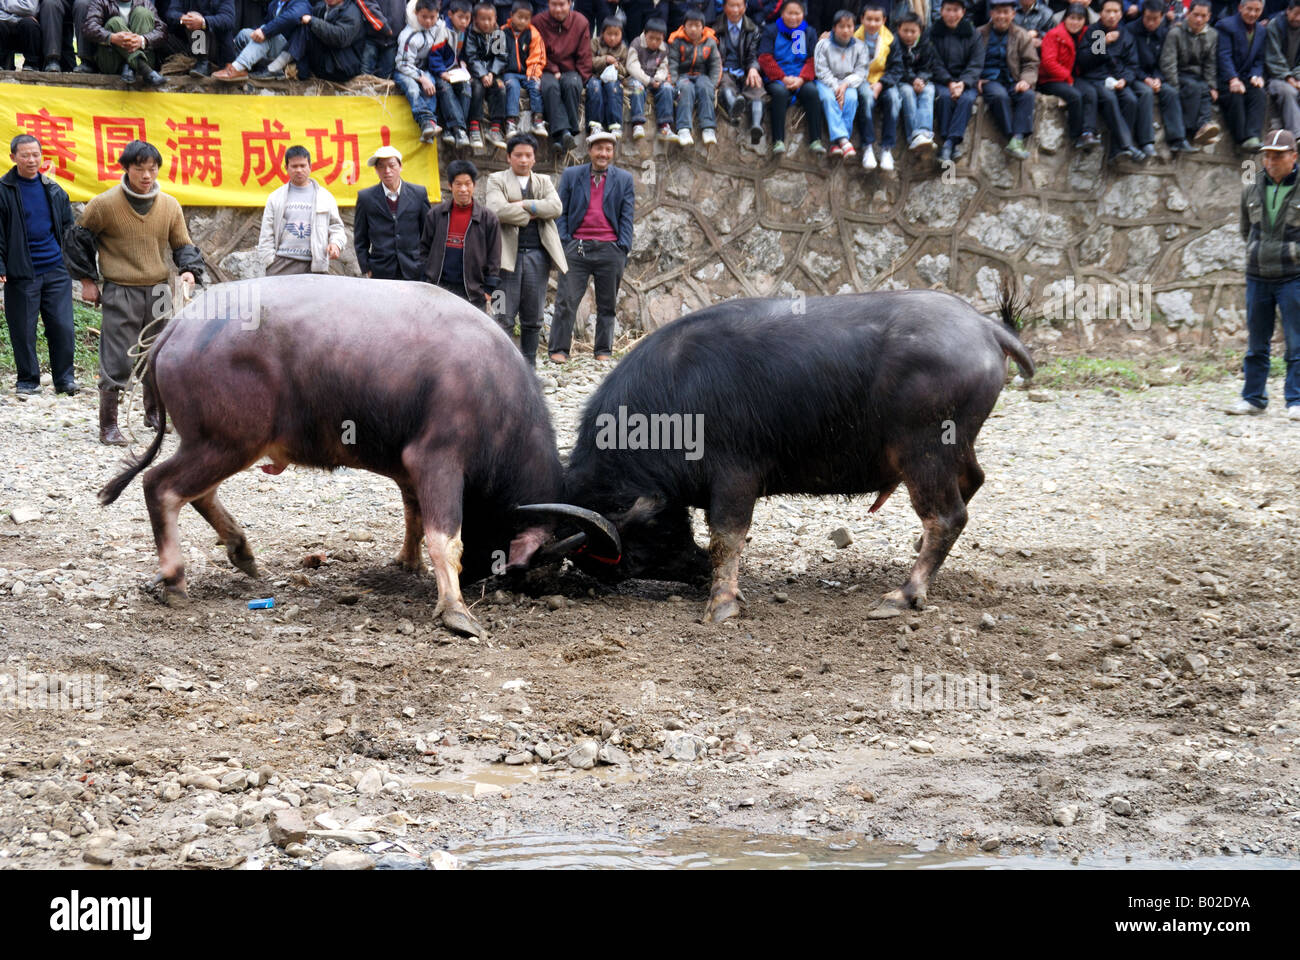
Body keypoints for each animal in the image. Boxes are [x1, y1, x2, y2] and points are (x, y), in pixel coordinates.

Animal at [98, 277, 616, 634]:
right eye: (540, 562)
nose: (487, 583)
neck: (495, 393)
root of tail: (177, 327)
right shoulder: (439, 458)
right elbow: (445, 536)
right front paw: (455, 610)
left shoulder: (409, 468)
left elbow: (413, 516)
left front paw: (408, 562)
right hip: (226, 441)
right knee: (162, 487)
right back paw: (175, 579)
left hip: (217, 443)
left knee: (198, 493)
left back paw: (242, 551)